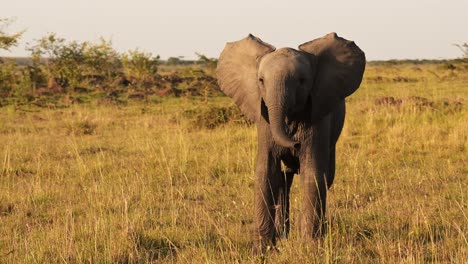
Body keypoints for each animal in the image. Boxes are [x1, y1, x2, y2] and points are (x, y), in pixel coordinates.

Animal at [216, 33, 366, 254]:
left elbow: (312, 174)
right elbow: (266, 173)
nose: (294, 144)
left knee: (325, 177)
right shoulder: (265, 120)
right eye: (261, 81)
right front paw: (262, 251)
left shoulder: (318, 120)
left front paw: (310, 247)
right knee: (283, 181)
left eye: (302, 81)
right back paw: (282, 236)